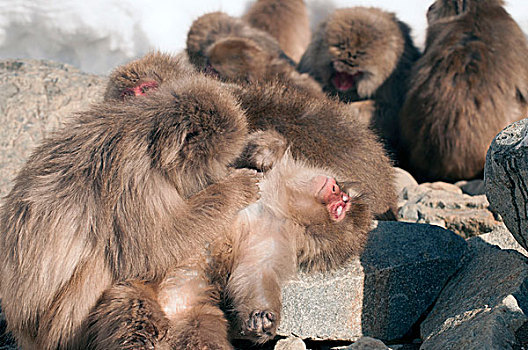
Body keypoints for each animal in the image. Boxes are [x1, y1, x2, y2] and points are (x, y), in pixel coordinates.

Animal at [0, 58, 260, 348]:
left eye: (146, 89)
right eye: (217, 161)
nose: (220, 173)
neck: (148, 138)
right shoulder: (133, 178)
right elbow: (153, 247)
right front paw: (236, 188)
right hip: (57, 329)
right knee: (106, 259)